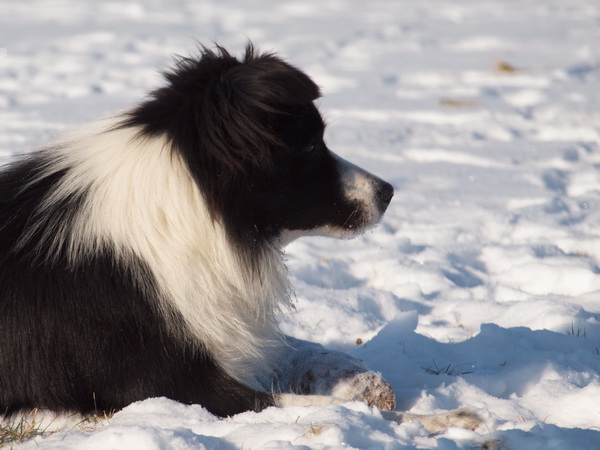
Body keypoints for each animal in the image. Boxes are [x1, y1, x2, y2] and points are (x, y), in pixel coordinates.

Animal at [0, 44, 478, 432]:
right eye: (310, 146)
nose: (388, 191)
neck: (189, 206)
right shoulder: (171, 386)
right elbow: (308, 406)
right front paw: (445, 418)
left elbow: (296, 350)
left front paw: (355, 377)